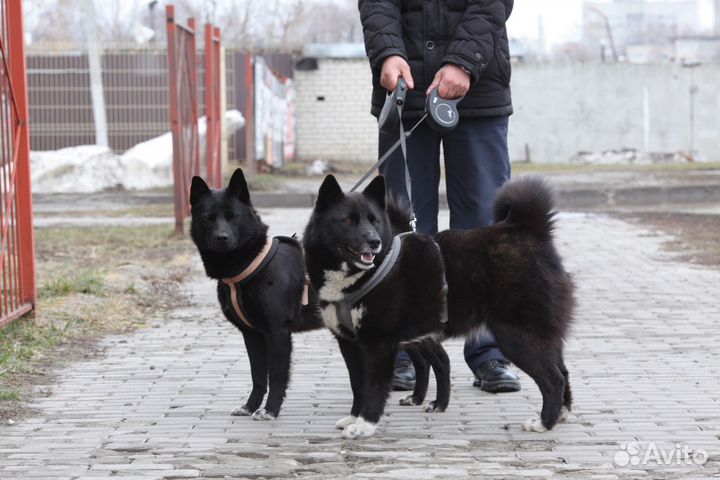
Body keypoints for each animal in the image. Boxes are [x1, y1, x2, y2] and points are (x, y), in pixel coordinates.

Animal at [188, 169, 320, 420]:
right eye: (208, 217)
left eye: (233, 216)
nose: (222, 237)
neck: (252, 263)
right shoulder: (252, 335)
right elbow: (258, 376)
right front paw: (250, 406)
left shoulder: (278, 333)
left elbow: (276, 376)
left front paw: (270, 410)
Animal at [304, 175, 572, 438]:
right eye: (348, 220)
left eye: (375, 220)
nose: (374, 242)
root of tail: (528, 231)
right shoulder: (349, 344)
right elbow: (357, 385)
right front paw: (353, 417)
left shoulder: (378, 345)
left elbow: (374, 387)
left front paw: (365, 424)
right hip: (540, 335)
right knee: (563, 371)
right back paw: (562, 413)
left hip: (516, 336)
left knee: (553, 379)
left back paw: (544, 422)